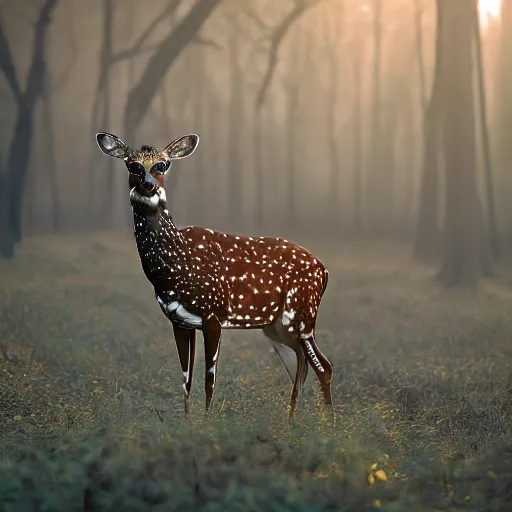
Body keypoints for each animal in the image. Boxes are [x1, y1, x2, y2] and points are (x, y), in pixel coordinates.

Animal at [96, 131, 334, 416]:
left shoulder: (213, 313)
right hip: (276, 327)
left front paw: (207, 421)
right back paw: (293, 421)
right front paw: (187, 420)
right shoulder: (179, 320)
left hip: (301, 315)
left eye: (163, 165)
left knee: (323, 366)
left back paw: (328, 423)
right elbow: (185, 379)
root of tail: (323, 270)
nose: (148, 185)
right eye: (132, 165)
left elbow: (209, 378)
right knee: (301, 364)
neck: (176, 266)